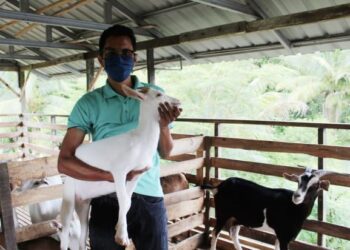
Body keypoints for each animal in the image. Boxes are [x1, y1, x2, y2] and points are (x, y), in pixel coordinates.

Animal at [202, 168, 330, 250]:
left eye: (316, 185)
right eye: (298, 181)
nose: (296, 196)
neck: (293, 208)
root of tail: (219, 187)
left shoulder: (281, 234)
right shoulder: (284, 236)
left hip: (237, 218)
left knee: (233, 234)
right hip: (222, 214)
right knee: (215, 233)